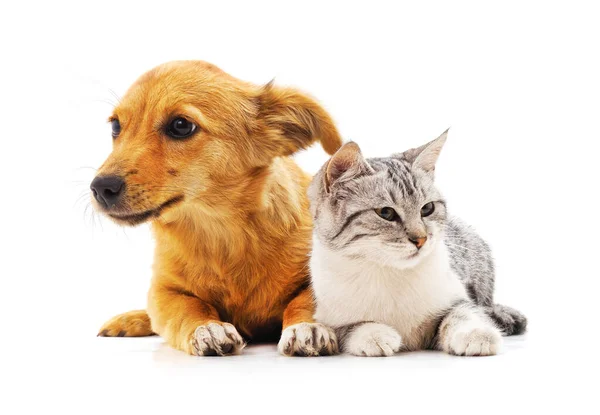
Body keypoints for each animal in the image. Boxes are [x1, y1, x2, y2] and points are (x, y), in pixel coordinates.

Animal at [96, 60, 344, 356]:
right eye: (116, 126)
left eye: (181, 125)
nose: (100, 188)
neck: (222, 235)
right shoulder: (164, 291)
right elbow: (188, 307)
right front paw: (207, 328)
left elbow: (306, 300)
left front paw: (307, 326)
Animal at [308, 131, 528, 358]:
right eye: (386, 213)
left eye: (427, 208)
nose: (421, 239)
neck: (390, 273)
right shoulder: (329, 318)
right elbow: (353, 327)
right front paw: (374, 334)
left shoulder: (457, 298)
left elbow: (461, 313)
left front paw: (474, 334)